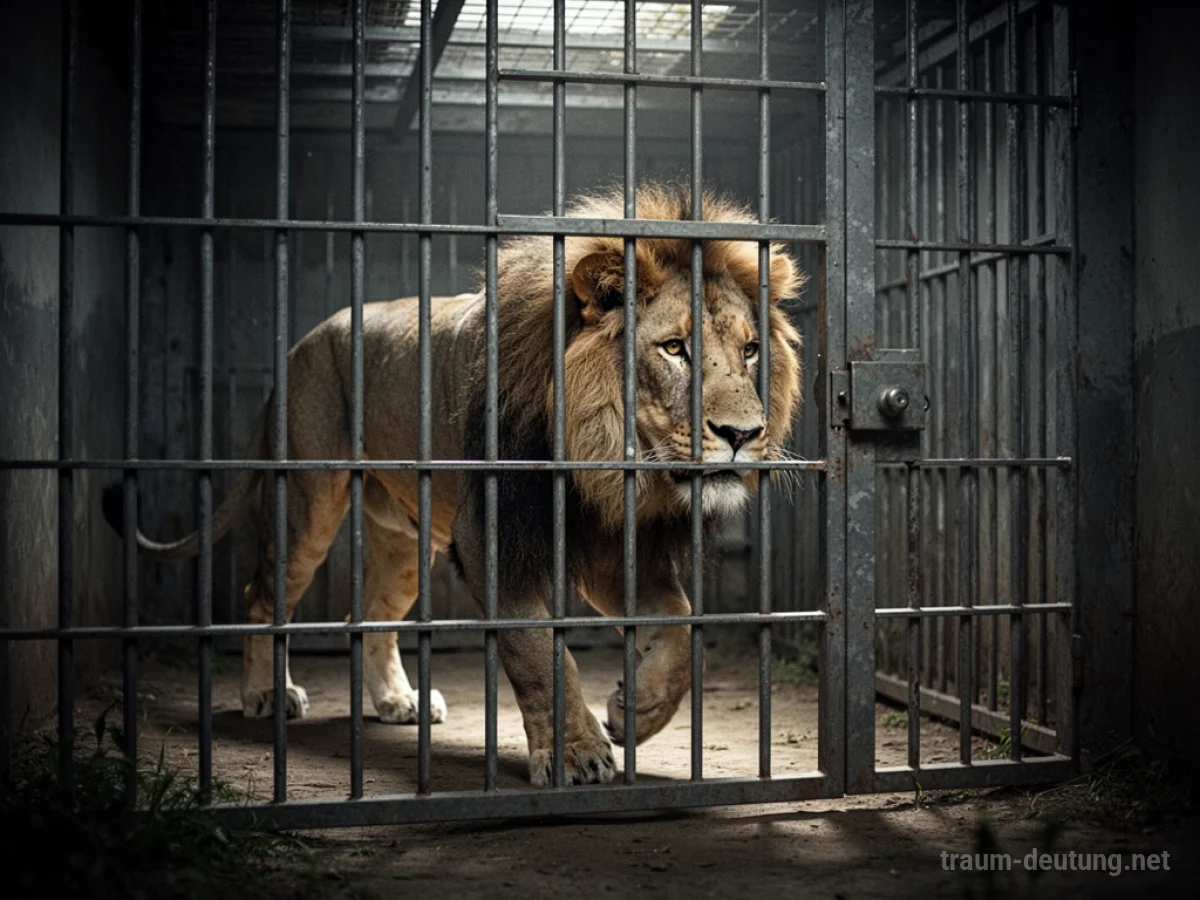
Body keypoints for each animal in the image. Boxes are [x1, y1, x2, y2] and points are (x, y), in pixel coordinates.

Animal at [104, 181, 804, 786]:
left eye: (749, 351)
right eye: (675, 349)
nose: (743, 434)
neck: (604, 458)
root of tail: (299, 346)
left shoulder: (607, 547)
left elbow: (682, 625)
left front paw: (636, 710)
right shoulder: (490, 537)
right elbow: (539, 652)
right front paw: (577, 754)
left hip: (404, 542)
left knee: (368, 613)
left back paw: (398, 701)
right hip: (307, 505)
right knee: (261, 594)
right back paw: (267, 694)